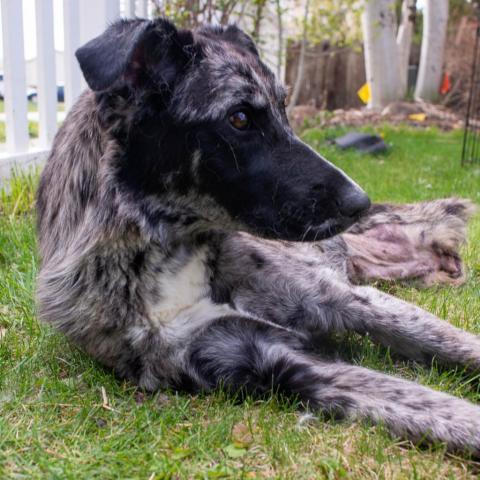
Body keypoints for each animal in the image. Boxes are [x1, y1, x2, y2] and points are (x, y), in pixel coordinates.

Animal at [36, 17, 480, 454]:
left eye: (284, 107)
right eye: (239, 118)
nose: (360, 202)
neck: (170, 256)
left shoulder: (343, 298)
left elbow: (456, 346)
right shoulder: (271, 361)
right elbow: (446, 413)